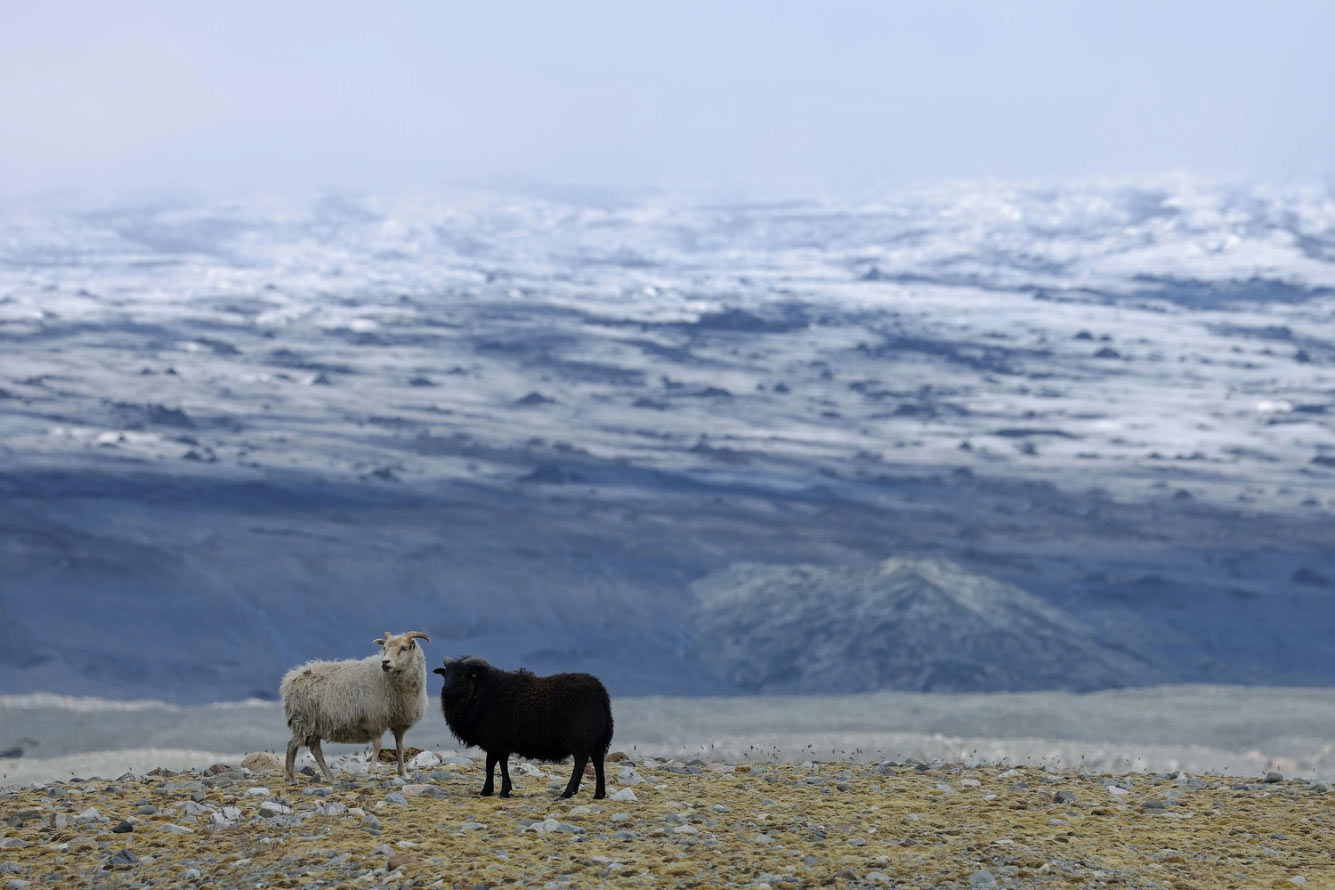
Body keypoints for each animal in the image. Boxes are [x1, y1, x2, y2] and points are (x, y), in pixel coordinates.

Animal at [281, 629, 432, 784]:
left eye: (403, 648)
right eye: (384, 648)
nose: (385, 662)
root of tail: (290, 678)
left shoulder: (400, 724)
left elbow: (400, 747)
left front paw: (403, 773)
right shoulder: (375, 721)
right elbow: (377, 744)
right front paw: (372, 771)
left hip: (315, 725)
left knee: (315, 749)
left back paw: (330, 777)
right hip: (304, 720)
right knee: (292, 745)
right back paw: (291, 778)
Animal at [437, 653, 614, 800]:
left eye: (461, 675)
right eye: (445, 674)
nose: (444, 690)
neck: (481, 694)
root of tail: (601, 693)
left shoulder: (497, 740)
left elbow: (495, 763)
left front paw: (500, 791)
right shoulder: (497, 743)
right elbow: (493, 764)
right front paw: (490, 790)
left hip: (578, 735)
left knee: (581, 761)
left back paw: (567, 792)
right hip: (596, 737)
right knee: (598, 760)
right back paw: (599, 794)